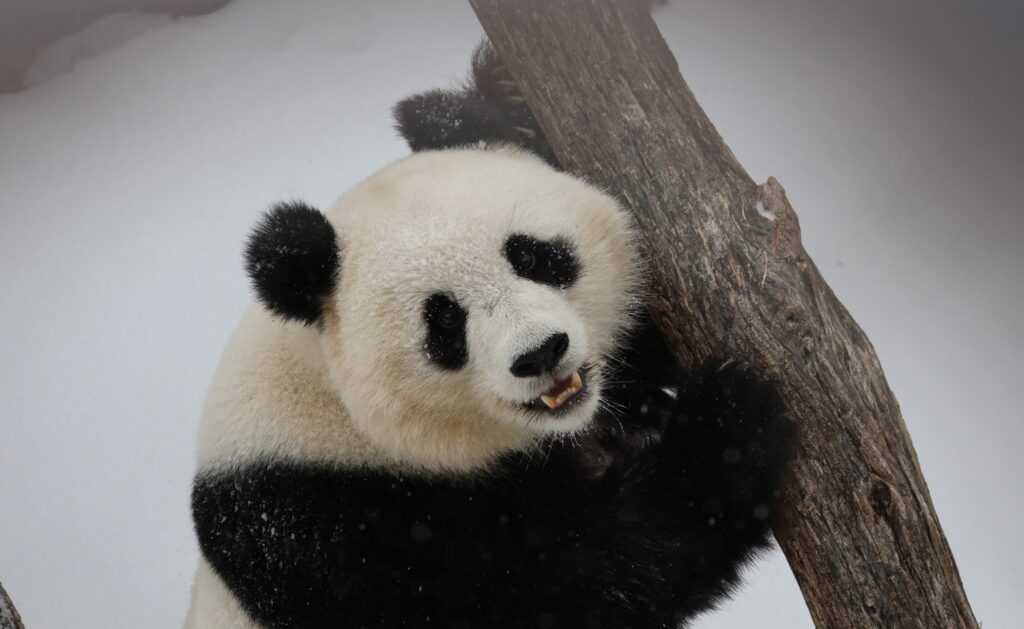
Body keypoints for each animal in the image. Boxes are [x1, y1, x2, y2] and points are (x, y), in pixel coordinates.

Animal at [185, 45, 793, 629]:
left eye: (532, 255)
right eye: (444, 322)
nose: (541, 354)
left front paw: (502, 94)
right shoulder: (338, 529)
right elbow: (572, 581)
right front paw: (730, 425)